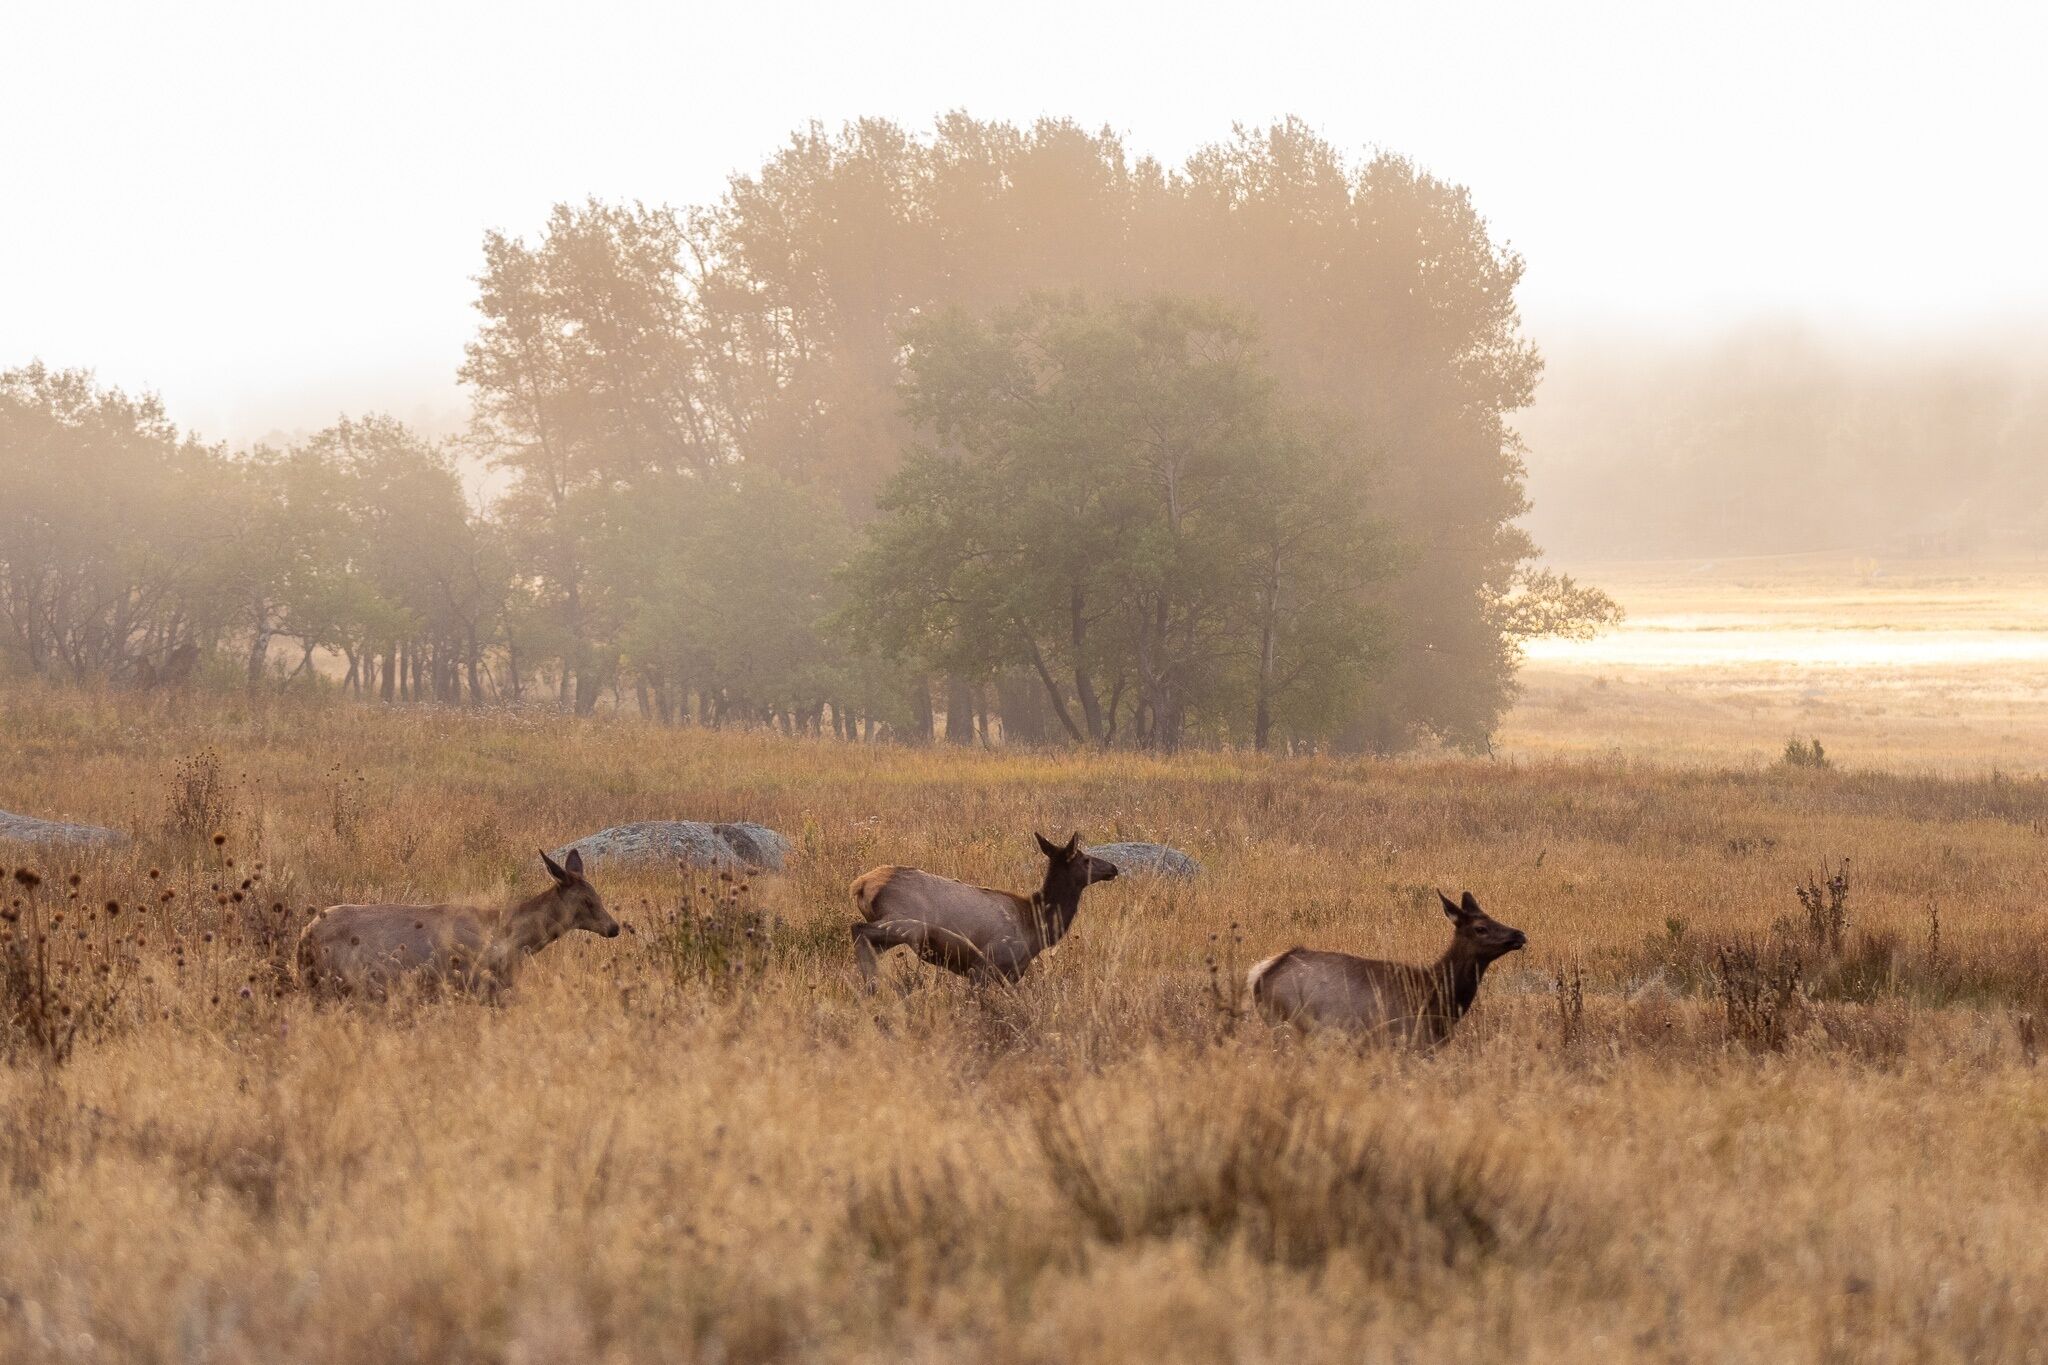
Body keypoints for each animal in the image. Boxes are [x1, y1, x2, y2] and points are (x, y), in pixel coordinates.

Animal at [297, 848, 619, 1002]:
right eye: (587, 901)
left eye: (598, 895)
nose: (614, 927)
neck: (511, 941)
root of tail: (304, 938)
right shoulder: (470, 981)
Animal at [849, 831, 1121, 991]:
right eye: (1085, 859)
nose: (1113, 868)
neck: (1035, 926)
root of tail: (861, 886)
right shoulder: (986, 965)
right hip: (905, 923)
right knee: (858, 929)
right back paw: (873, 986)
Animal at [1246, 891, 1527, 1048]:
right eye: (1480, 927)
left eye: (1492, 917)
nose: (1520, 934)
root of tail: (1259, 975)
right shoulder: (1406, 1039)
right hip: (1285, 1022)